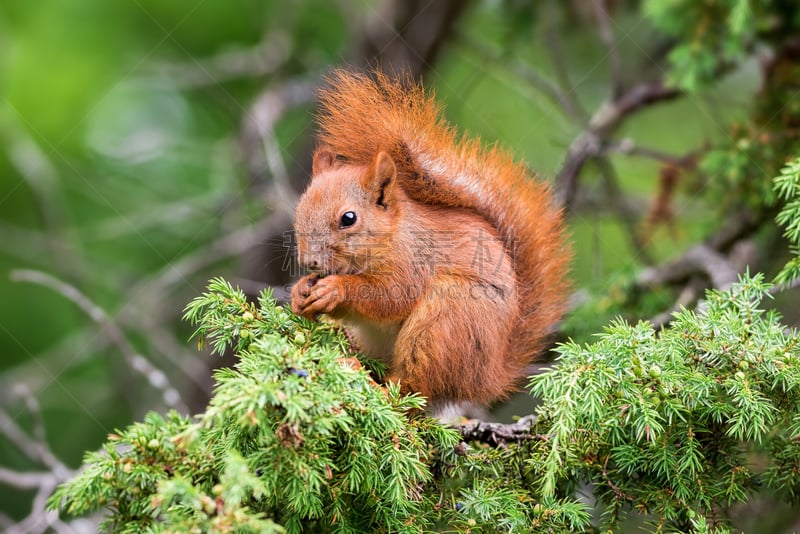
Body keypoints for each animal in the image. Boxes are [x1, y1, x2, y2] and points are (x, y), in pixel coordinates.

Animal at [290, 70, 568, 406]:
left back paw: (374, 385)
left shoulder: (412, 263)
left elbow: (390, 297)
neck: (391, 236)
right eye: (299, 210)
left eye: (349, 219)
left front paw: (336, 289)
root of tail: (488, 377)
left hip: (447, 320)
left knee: (413, 389)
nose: (309, 261)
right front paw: (299, 292)